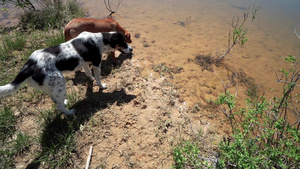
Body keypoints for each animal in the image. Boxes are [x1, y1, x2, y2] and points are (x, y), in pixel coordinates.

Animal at [0, 31, 132, 115]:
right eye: (123, 42)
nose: (131, 49)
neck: (100, 39)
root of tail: (30, 65)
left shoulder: (84, 63)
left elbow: (88, 74)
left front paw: (91, 80)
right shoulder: (96, 63)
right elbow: (98, 78)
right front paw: (101, 85)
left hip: (51, 86)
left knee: (55, 99)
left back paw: (64, 102)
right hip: (59, 83)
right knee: (59, 107)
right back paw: (70, 112)